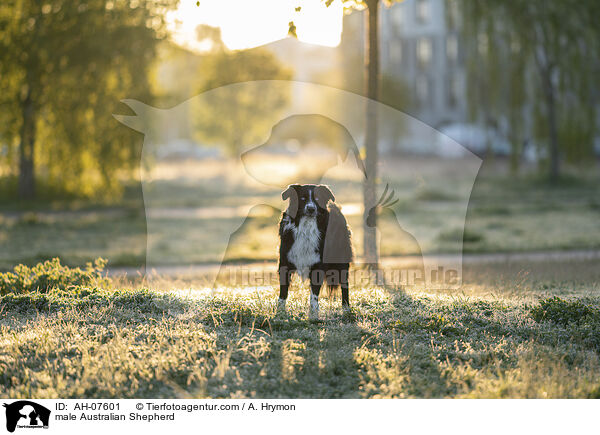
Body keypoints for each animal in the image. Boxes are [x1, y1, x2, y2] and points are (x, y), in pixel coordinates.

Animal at [278, 184, 354, 320]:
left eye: (317, 199)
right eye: (302, 198)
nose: (311, 209)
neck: (306, 228)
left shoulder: (317, 264)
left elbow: (314, 294)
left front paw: (313, 315)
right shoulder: (284, 262)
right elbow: (283, 291)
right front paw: (279, 312)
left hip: (342, 260)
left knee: (345, 285)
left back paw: (346, 309)